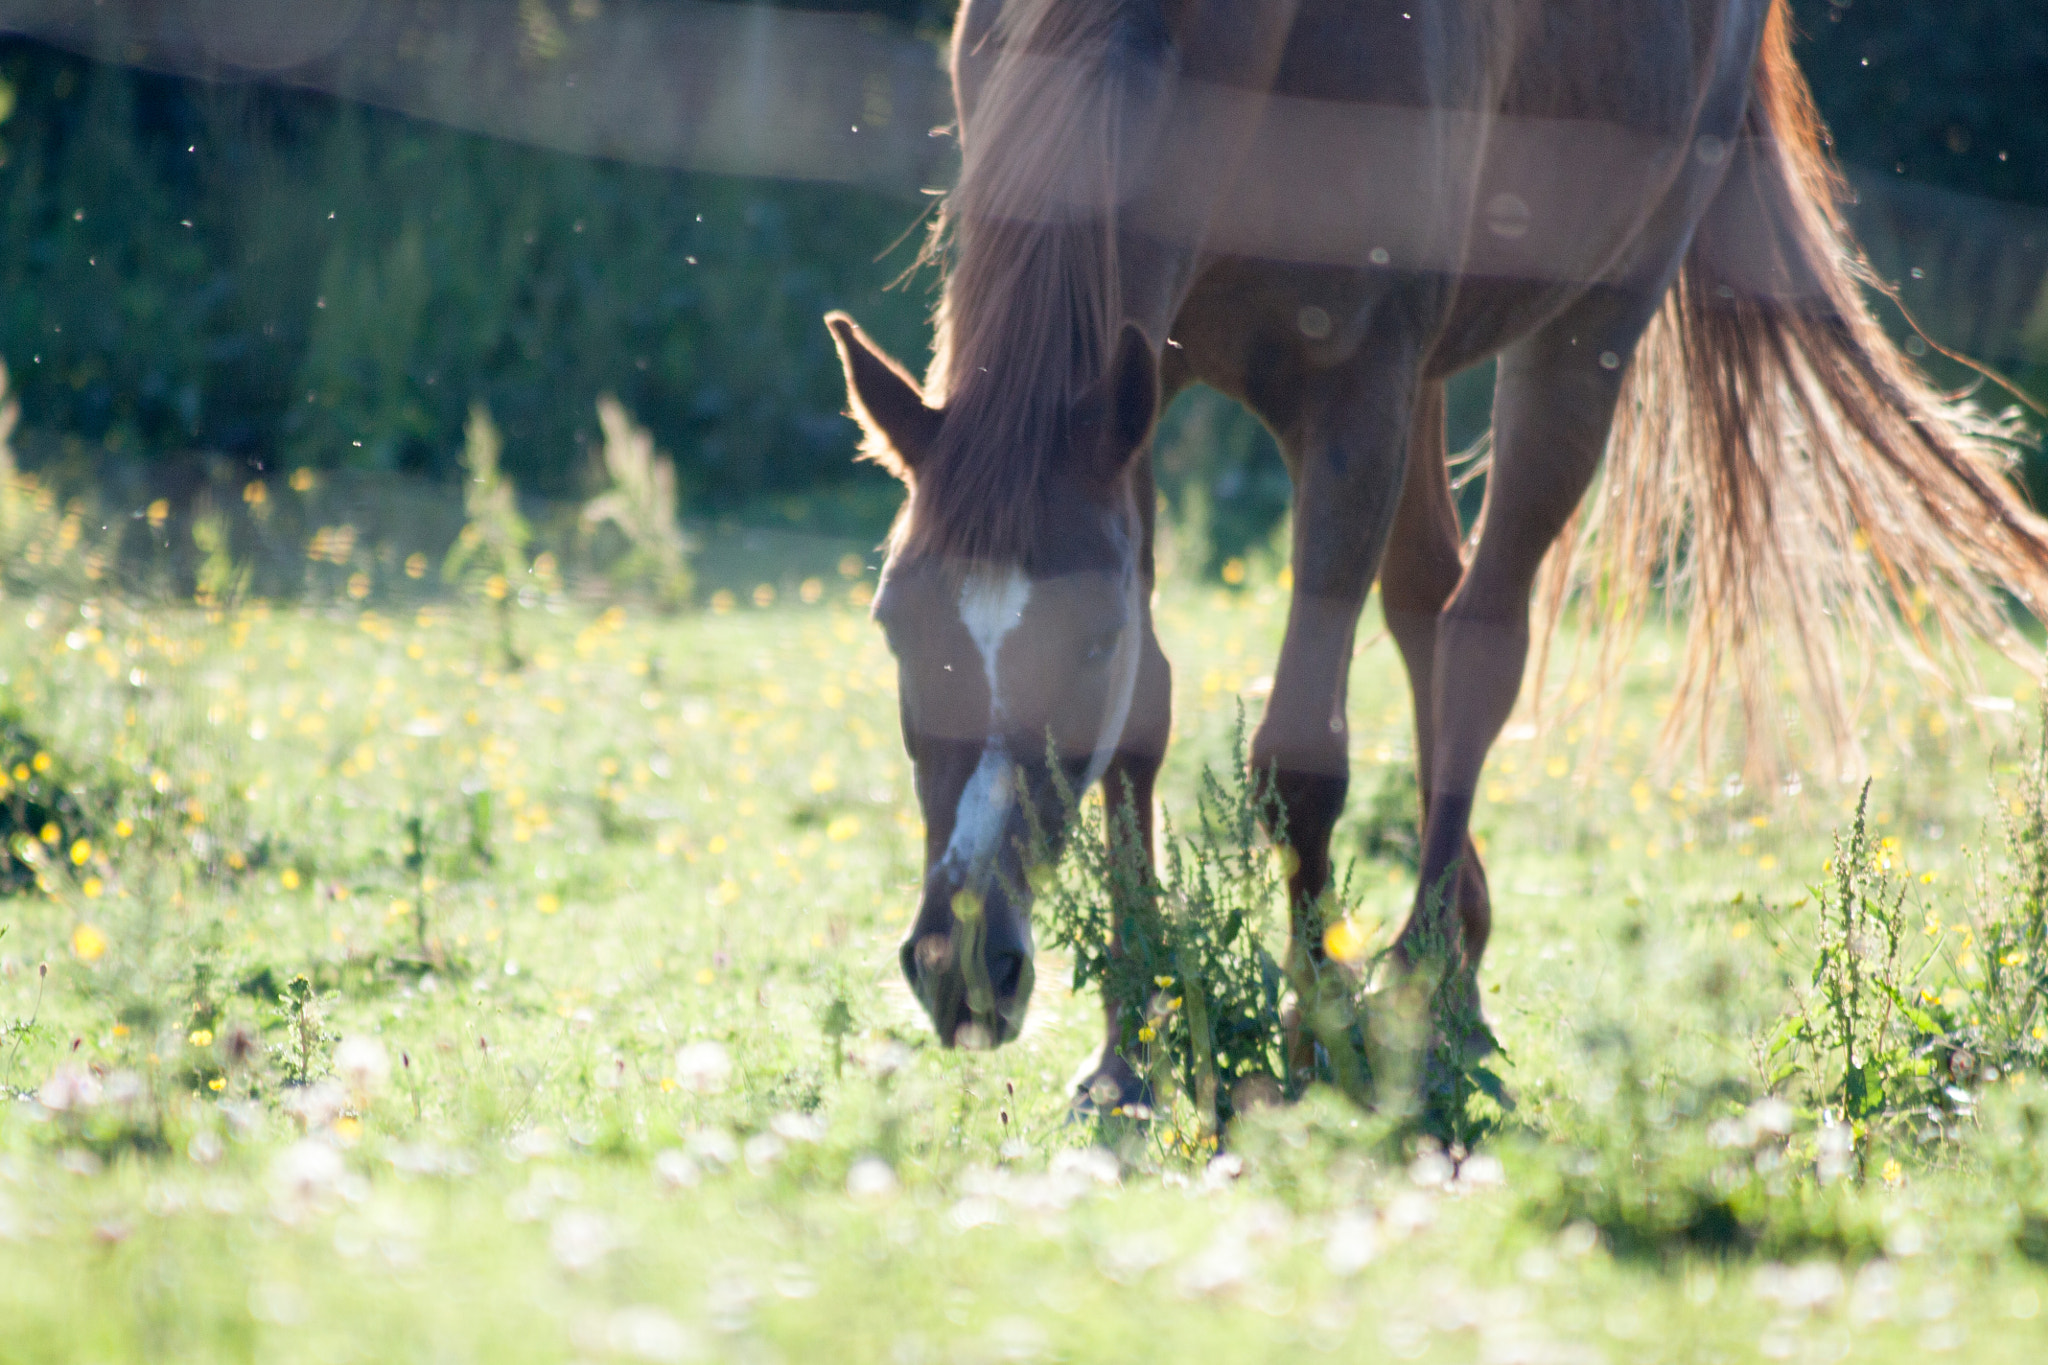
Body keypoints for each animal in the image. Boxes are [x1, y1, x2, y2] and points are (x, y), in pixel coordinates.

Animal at [827, 0, 2048, 1096]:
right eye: (893, 630)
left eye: (1083, 648)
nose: (962, 965)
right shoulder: (1141, 394)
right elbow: (1145, 719)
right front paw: (1130, 1048)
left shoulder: (1352, 399)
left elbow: (1299, 757)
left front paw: (1313, 1031)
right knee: (1425, 606)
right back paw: (1454, 937)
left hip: (1582, 331)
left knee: (1479, 639)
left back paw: (1435, 994)